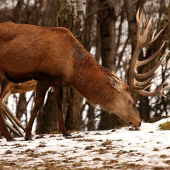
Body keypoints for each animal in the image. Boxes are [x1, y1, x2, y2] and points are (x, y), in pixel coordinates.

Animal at [0, 8, 168, 141]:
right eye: (129, 101)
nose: (139, 121)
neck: (71, 69)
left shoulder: (57, 81)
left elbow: (59, 103)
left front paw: (66, 132)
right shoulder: (44, 75)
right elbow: (38, 103)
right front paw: (28, 134)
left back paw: (9, 136)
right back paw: (9, 136)